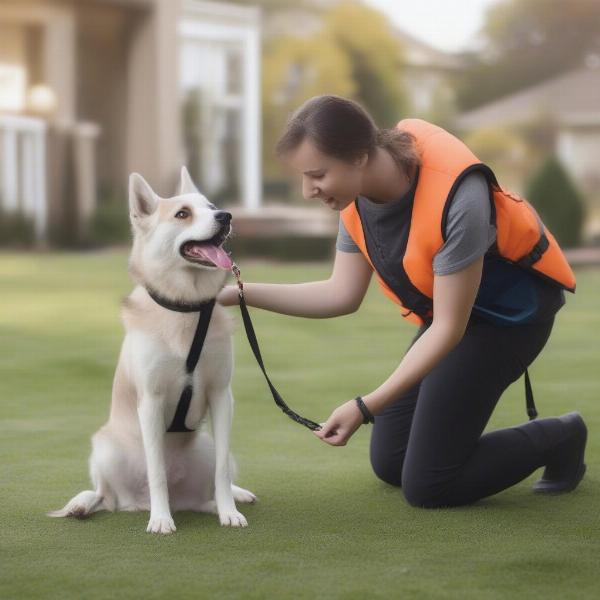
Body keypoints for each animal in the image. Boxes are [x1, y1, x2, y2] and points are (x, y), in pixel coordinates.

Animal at [50, 166, 256, 532]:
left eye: (210, 206)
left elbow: (220, 472)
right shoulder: (151, 400)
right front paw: (161, 520)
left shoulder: (221, 395)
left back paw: (223, 500)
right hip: (105, 449)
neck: (185, 307)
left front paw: (229, 511)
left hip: (205, 447)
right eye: (183, 214)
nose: (226, 215)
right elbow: (156, 470)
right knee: (104, 494)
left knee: (212, 483)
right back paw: (85, 505)